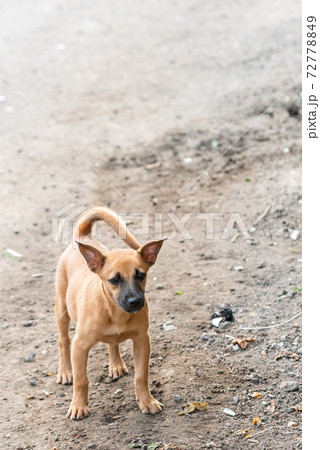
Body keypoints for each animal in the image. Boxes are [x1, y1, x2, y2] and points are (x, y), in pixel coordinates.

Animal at [54, 207, 164, 418]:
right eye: (114, 280)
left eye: (141, 275)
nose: (135, 301)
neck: (115, 312)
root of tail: (82, 238)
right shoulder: (79, 346)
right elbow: (81, 379)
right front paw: (78, 406)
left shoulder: (142, 340)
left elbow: (141, 375)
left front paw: (147, 401)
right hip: (61, 309)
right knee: (63, 340)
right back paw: (65, 371)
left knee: (112, 344)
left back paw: (116, 364)